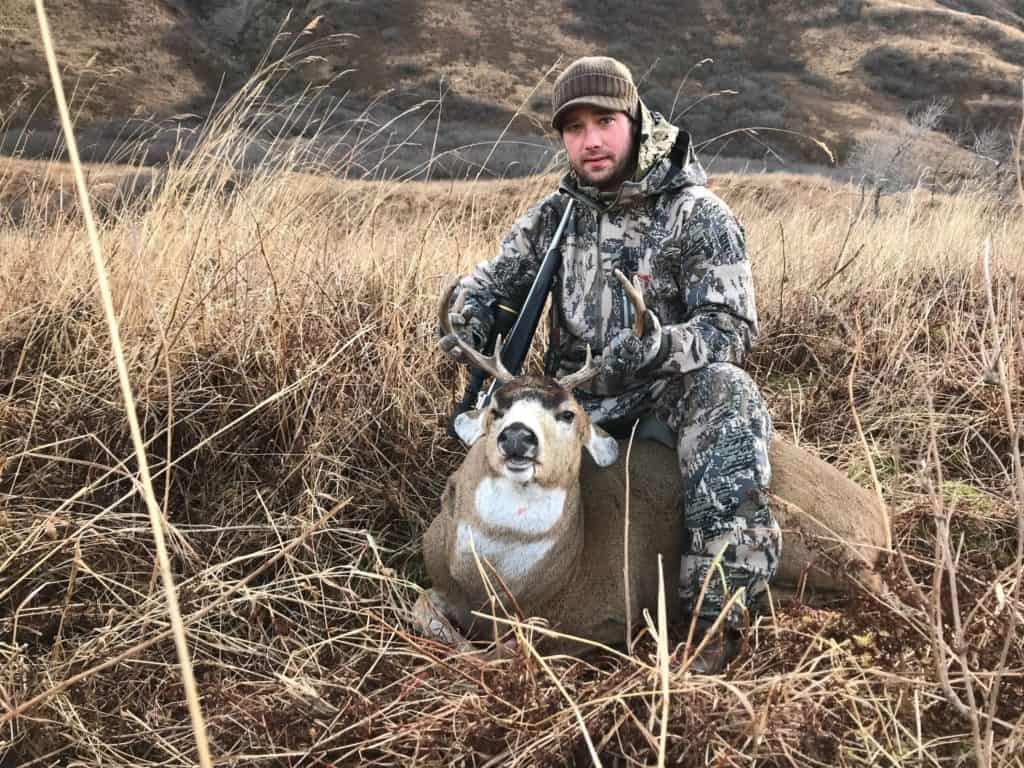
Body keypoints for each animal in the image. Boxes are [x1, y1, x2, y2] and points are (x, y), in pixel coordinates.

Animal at [412, 276, 891, 656]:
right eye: (496, 408)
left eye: (568, 414)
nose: (517, 437)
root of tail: (880, 517)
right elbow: (424, 609)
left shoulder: (610, 614)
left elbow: (519, 646)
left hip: (802, 538)